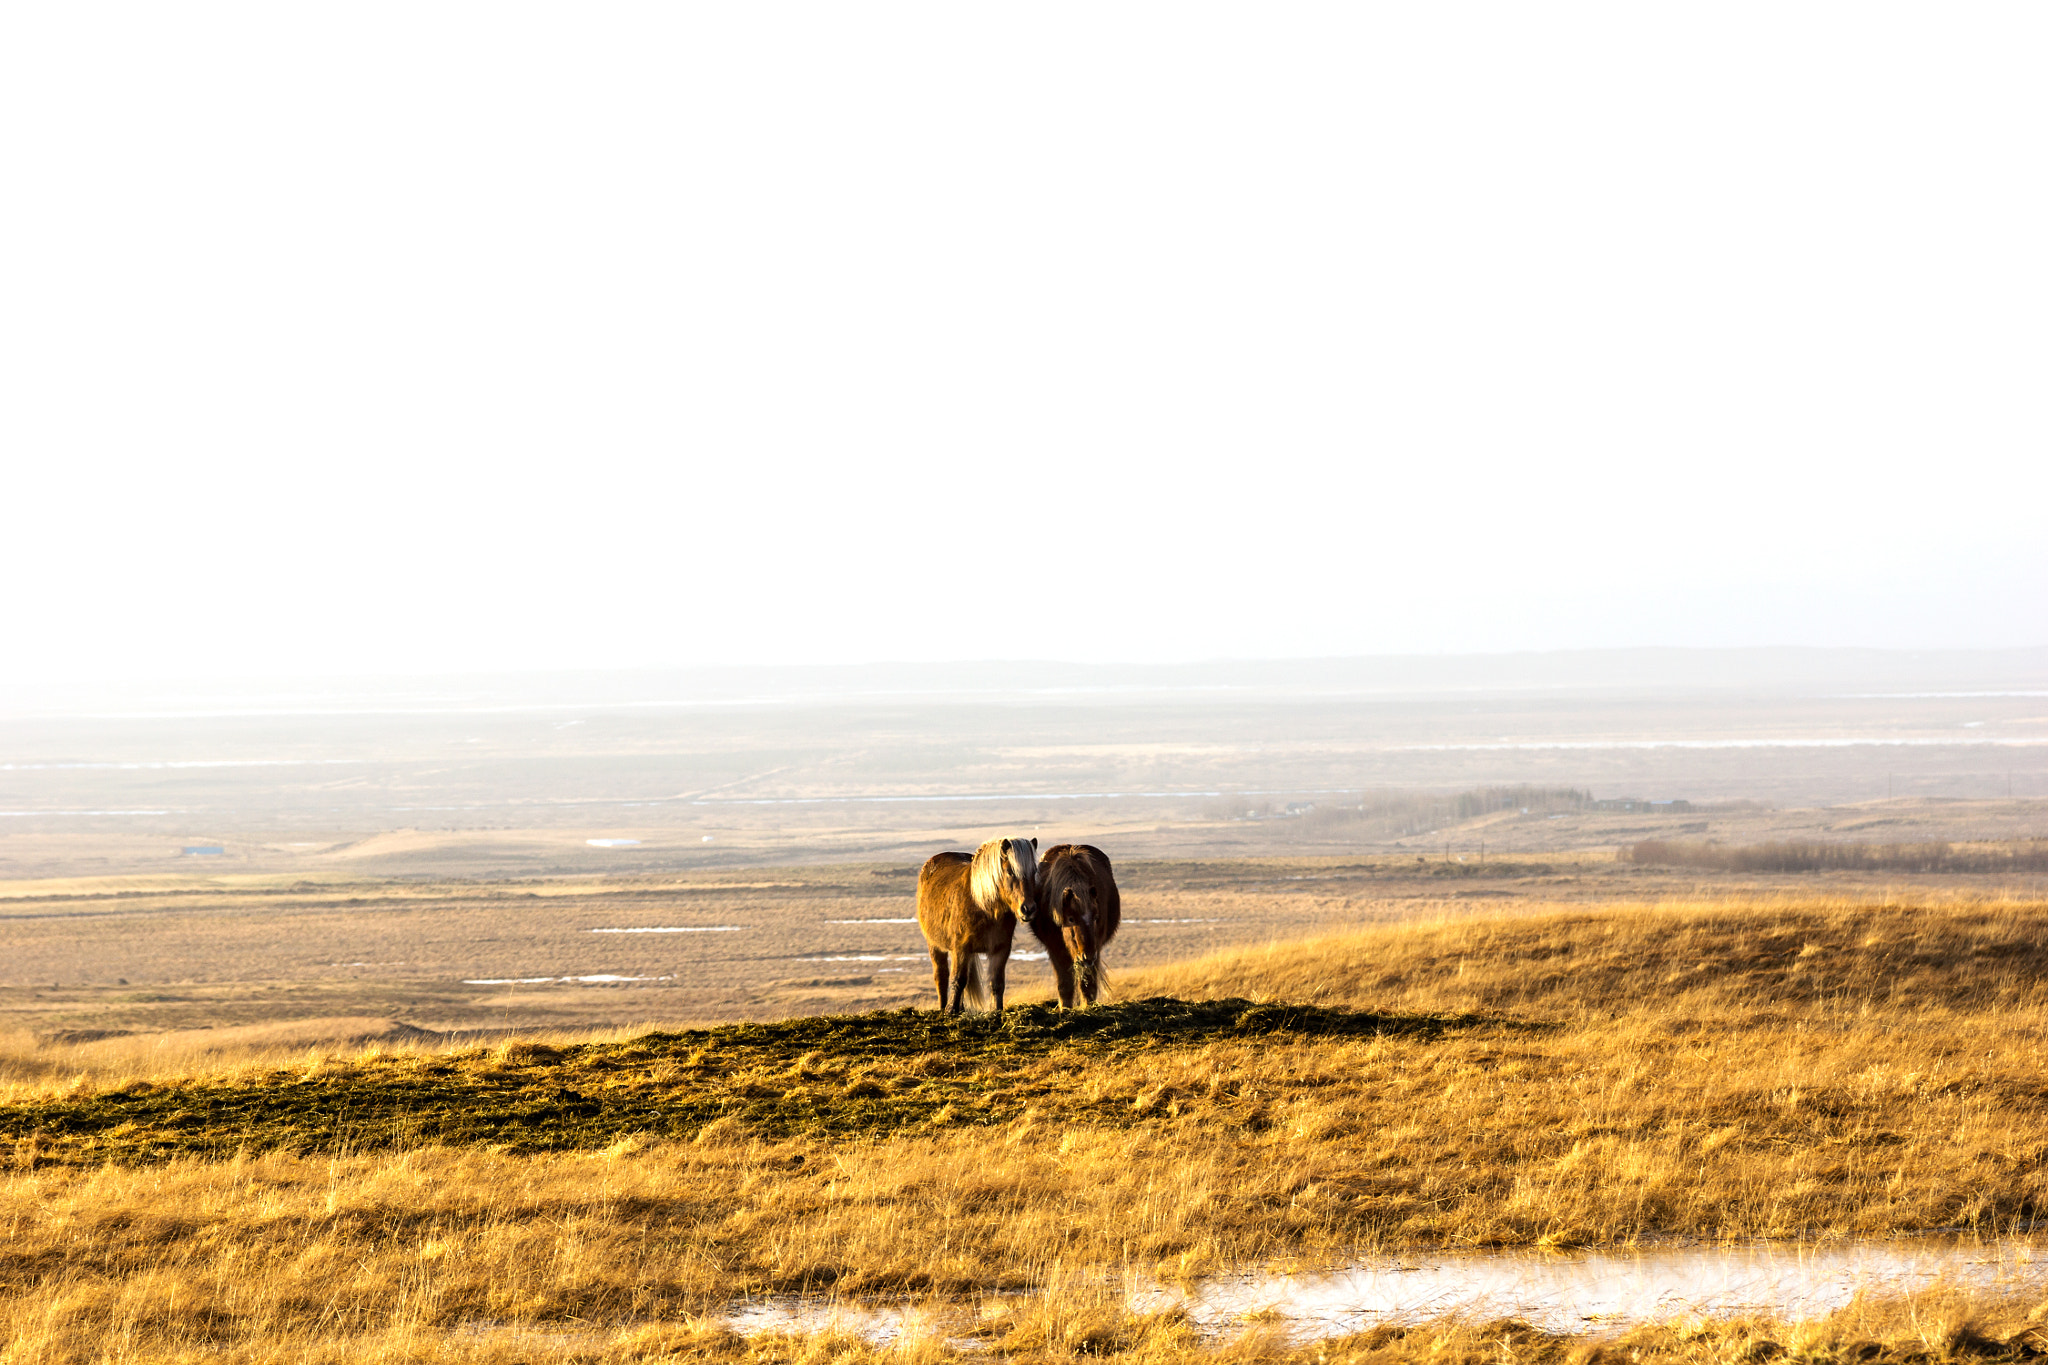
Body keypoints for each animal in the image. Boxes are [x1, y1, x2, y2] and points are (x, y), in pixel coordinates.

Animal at [913, 834, 1040, 1015]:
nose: (1028, 909)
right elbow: (958, 980)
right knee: (941, 976)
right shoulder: (961, 949)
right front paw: (950, 1010)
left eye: (1034, 872)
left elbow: (996, 982)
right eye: (1009, 871)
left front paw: (997, 1011)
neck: (983, 906)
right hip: (935, 945)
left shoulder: (1000, 949)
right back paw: (944, 1007)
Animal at [1024, 843, 1122, 1002]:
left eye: (1096, 917)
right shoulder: (1056, 950)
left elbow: (1088, 987)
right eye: (1070, 918)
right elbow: (1065, 986)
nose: (1087, 956)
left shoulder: (1096, 949)